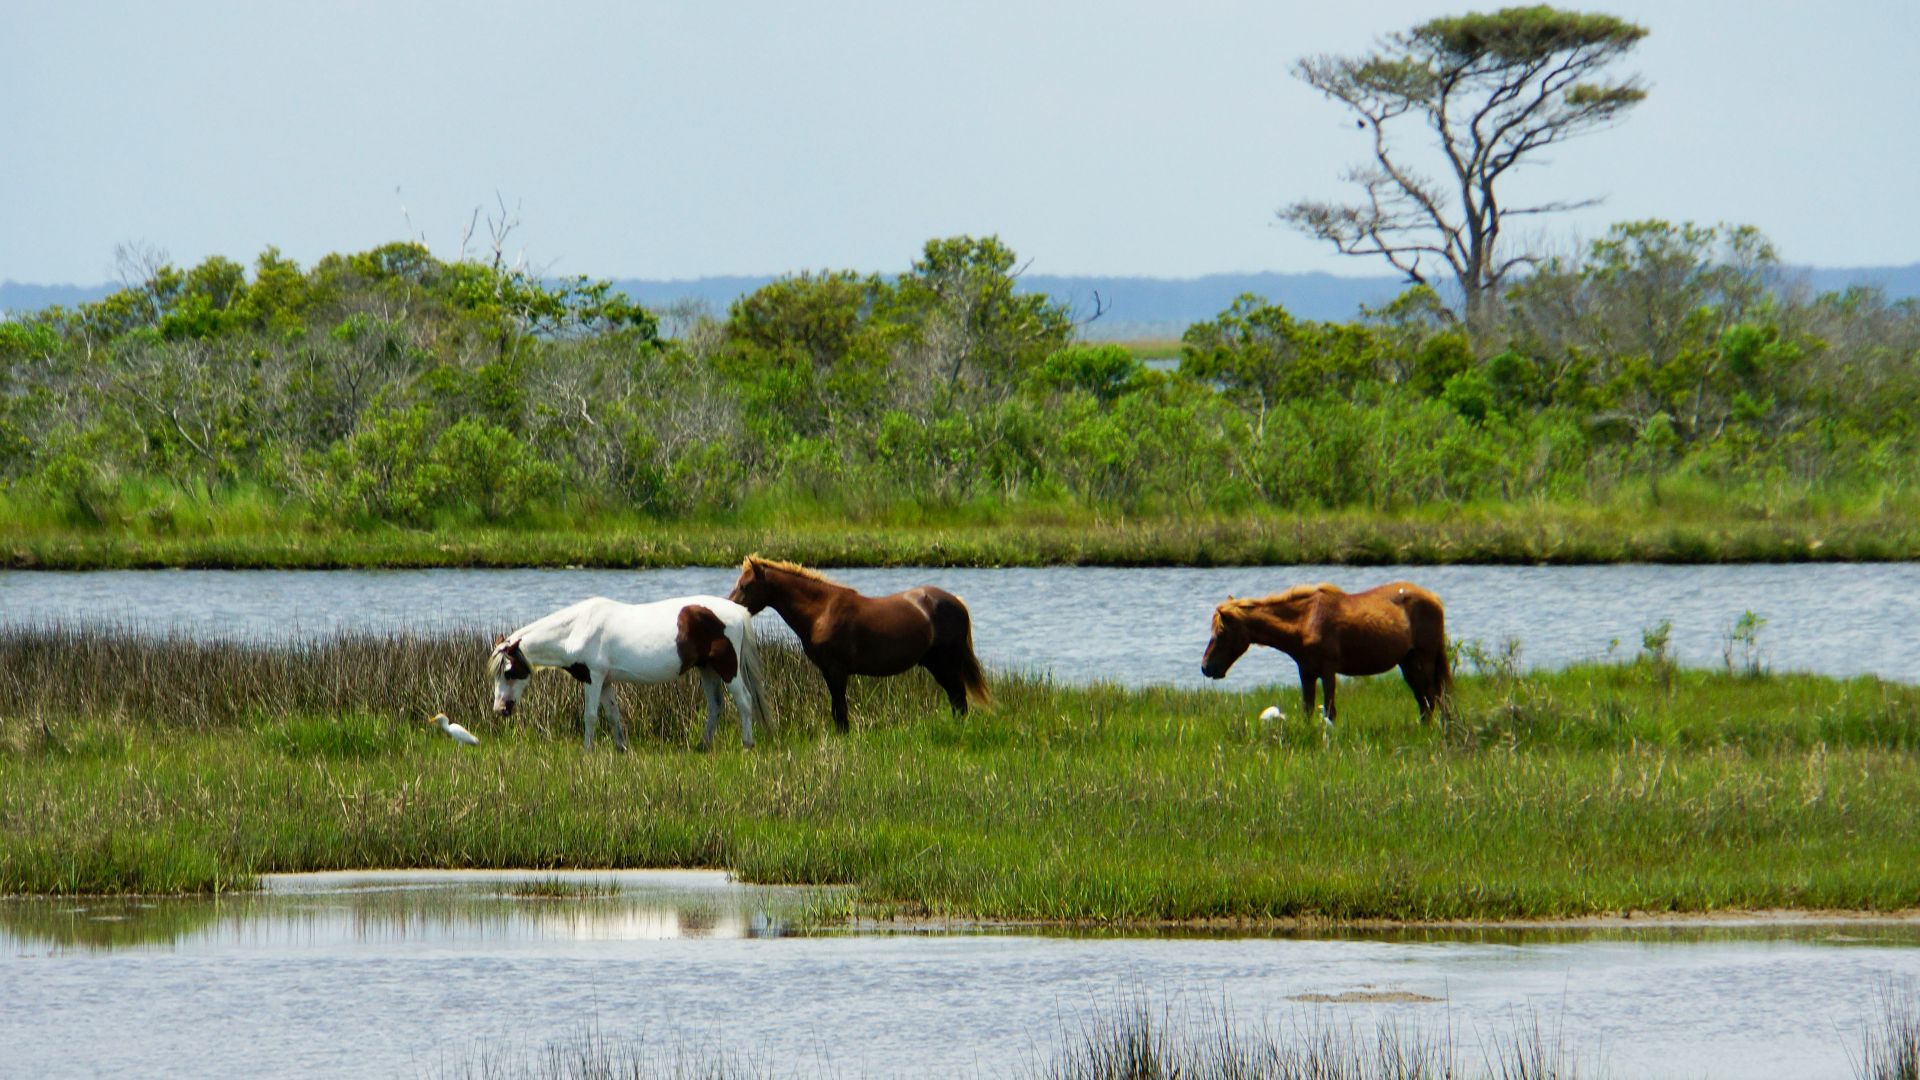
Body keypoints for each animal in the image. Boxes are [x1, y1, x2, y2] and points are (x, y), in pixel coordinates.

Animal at [489, 595, 769, 750]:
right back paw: (703, 746)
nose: (500, 709)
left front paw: (587, 750)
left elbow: (591, 716)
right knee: (715, 706)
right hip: (707, 669)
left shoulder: (594, 678)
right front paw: (621, 747)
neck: (577, 629)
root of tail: (738, 611)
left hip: (727, 667)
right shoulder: (605, 682)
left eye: (509, 672)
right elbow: (613, 715)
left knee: (744, 701)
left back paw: (747, 745)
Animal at [727, 555, 987, 733]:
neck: (821, 611)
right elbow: (836, 710)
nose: (729, 608)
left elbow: (841, 711)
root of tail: (957, 603)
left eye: (745, 586)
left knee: (958, 698)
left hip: (947, 664)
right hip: (937, 665)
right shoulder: (828, 671)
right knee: (956, 698)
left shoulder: (837, 671)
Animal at [1200, 581, 1451, 725]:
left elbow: (1330, 712)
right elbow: (1308, 710)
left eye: (1221, 633)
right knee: (1426, 703)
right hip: (1408, 663)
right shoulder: (1307, 673)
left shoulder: (1328, 671)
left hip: (1424, 659)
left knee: (1434, 697)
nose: (1206, 667)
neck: (1305, 621)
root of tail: (1435, 599)